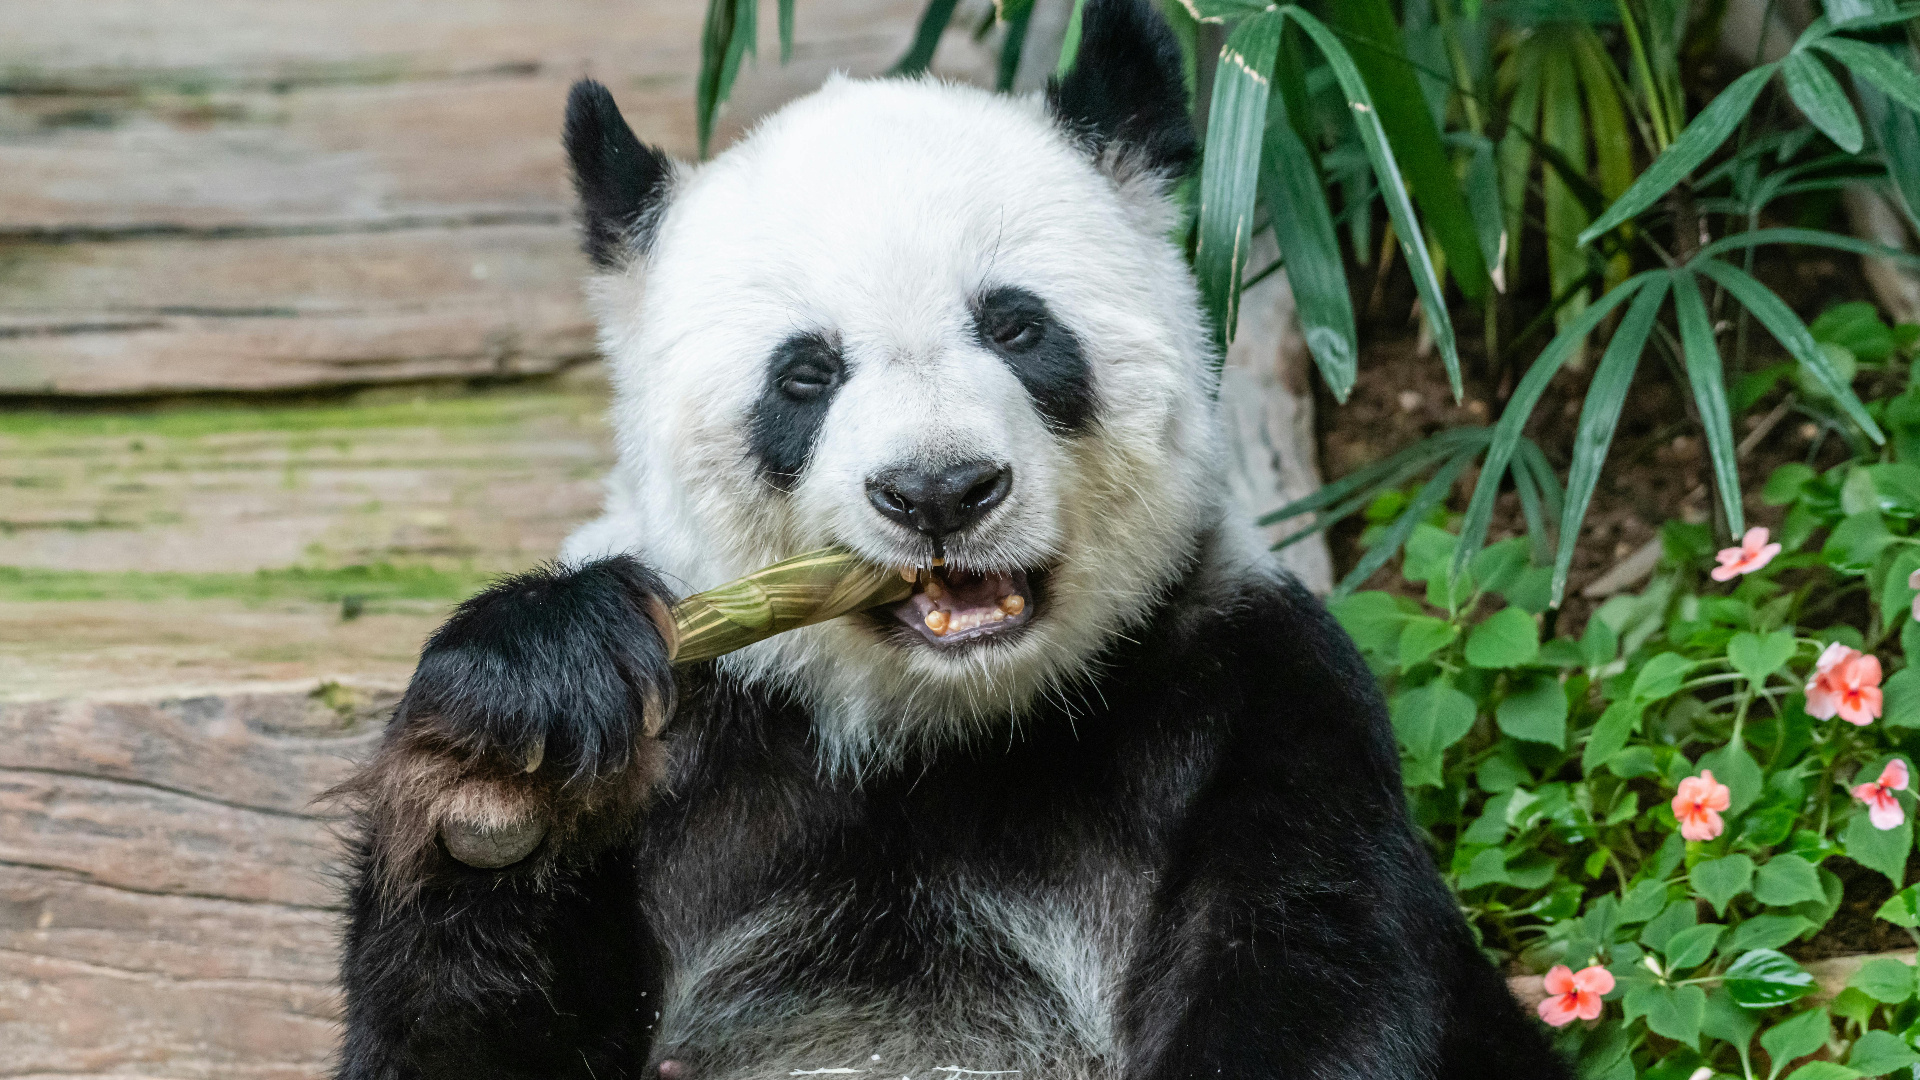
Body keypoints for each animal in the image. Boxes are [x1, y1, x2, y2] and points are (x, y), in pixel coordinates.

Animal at [337, 2, 1566, 1076]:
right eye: (805, 375)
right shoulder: (702, 744)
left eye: (1017, 326)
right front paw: (510, 759)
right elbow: (450, 1042)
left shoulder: (1254, 694)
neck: (935, 730)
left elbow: (1315, 970)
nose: (938, 491)